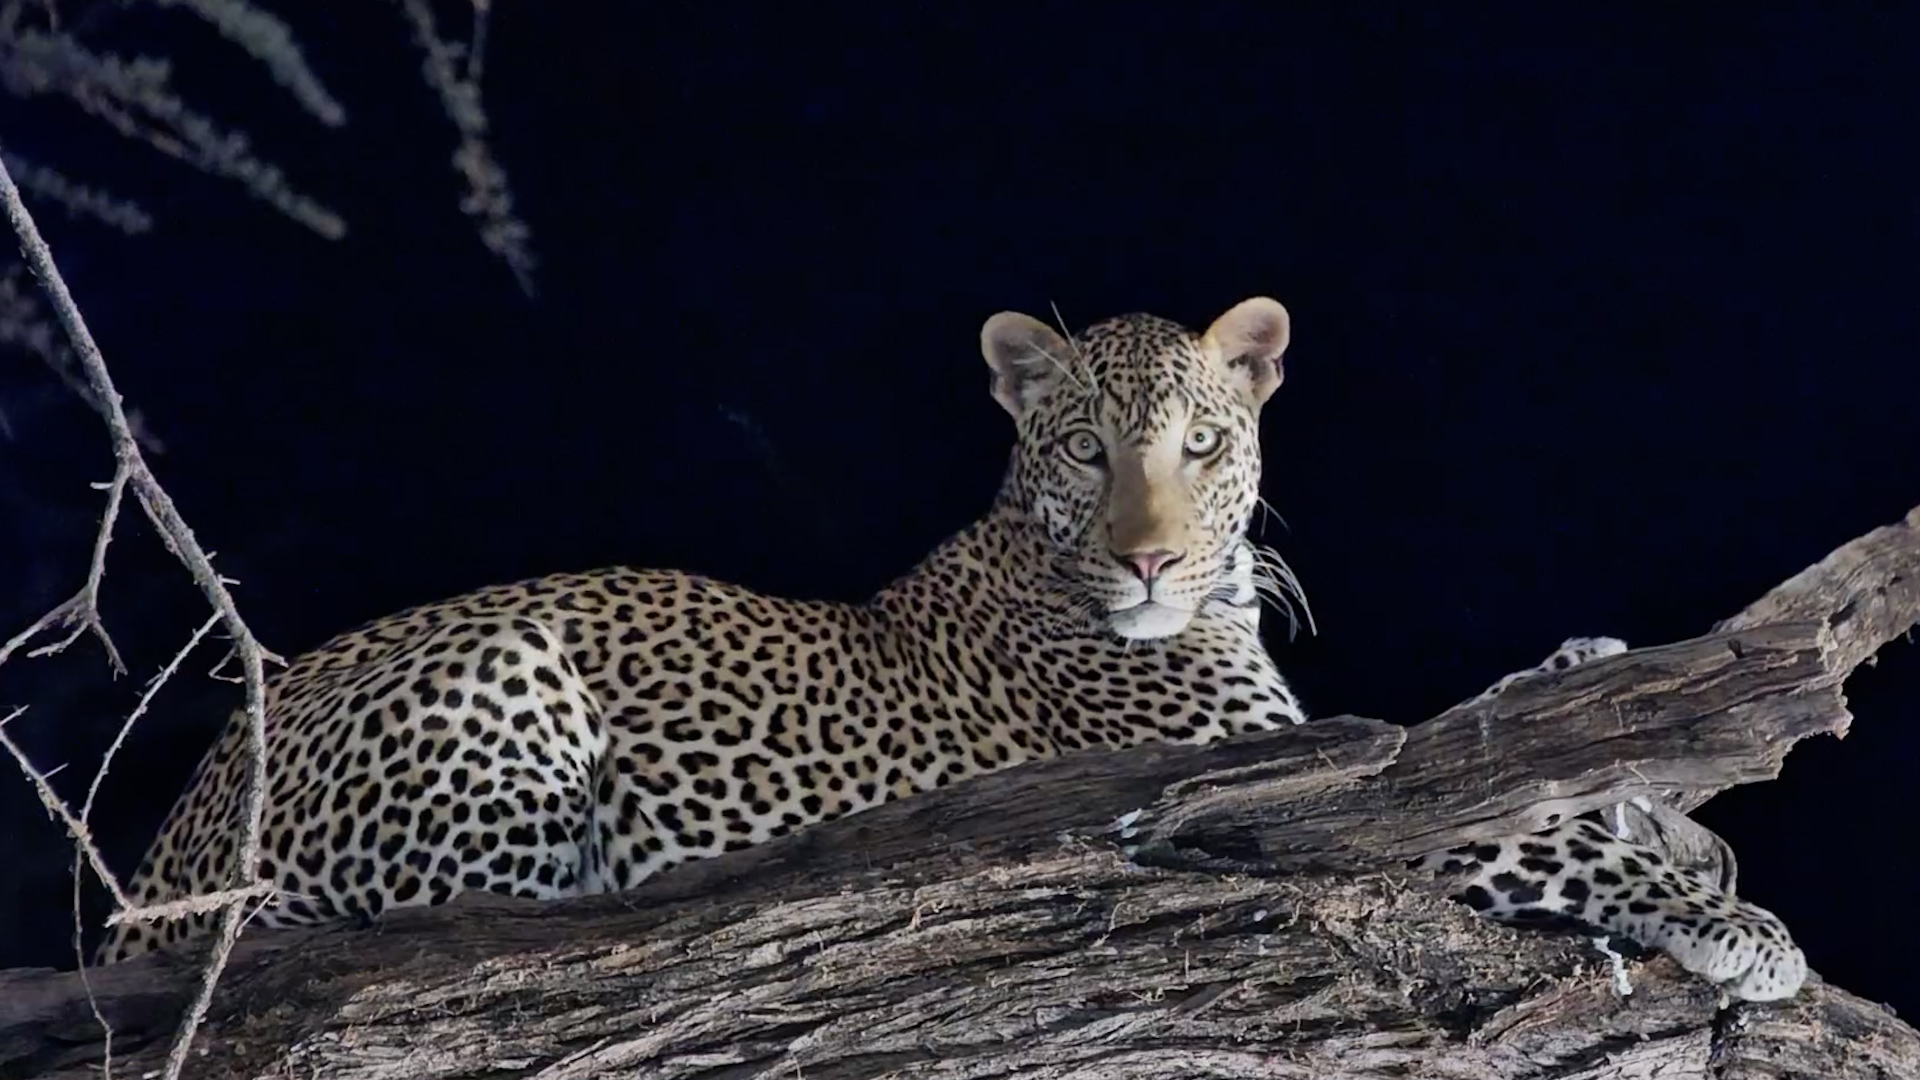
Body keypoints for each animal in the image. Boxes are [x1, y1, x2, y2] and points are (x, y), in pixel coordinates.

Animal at [95, 297, 1808, 1004]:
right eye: (1088, 450)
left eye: (1200, 444)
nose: (1151, 556)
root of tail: (137, 883)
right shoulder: (1258, 794)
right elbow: (1514, 826)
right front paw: (1731, 921)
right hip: (504, 675)